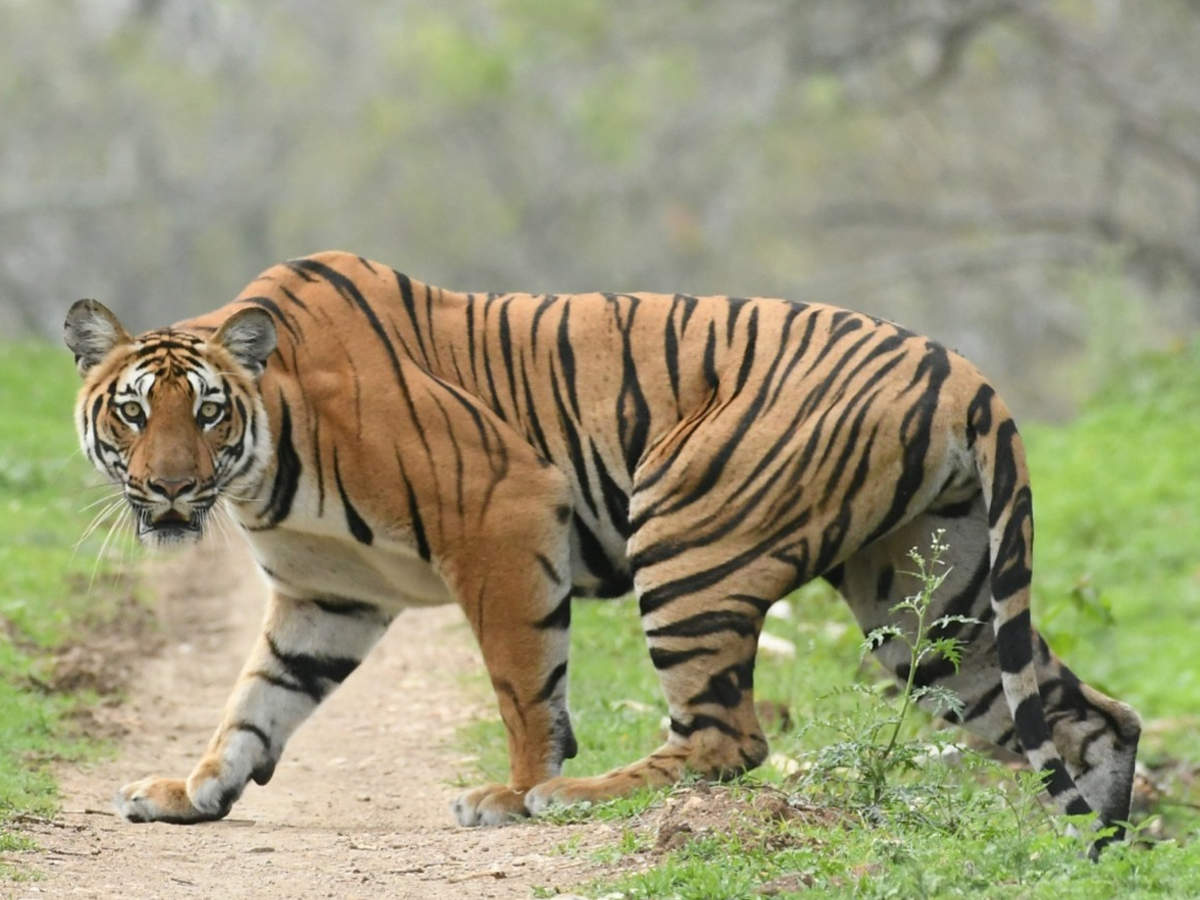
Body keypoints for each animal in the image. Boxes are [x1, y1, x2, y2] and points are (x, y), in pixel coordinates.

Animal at [65, 248, 1142, 844]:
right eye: (133, 412)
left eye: (207, 414)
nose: (169, 488)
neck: (260, 463)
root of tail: (962, 369)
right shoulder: (327, 597)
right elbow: (256, 703)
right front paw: (192, 792)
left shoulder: (505, 515)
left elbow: (523, 686)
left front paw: (512, 794)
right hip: (929, 610)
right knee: (1095, 719)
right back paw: (1089, 858)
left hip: (689, 535)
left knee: (729, 739)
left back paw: (575, 797)